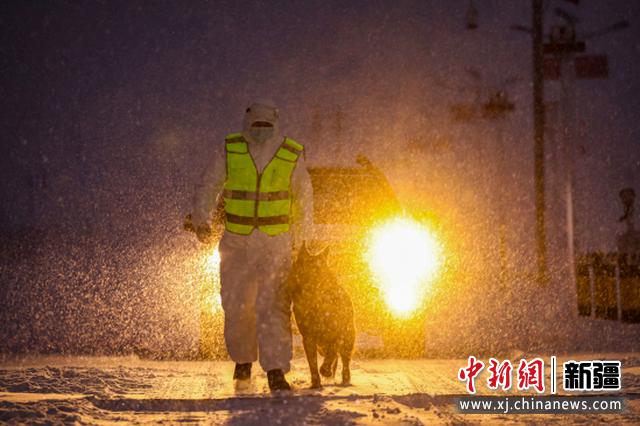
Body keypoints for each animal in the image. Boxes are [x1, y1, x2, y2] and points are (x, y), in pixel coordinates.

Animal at [288, 245, 356, 388]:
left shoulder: (337, 332)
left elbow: (332, 353)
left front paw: (325, 370)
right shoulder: (308, 337)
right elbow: (312, 362)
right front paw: (315, 382)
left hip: (349, 337)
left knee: (344, 360)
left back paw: (344, 378)